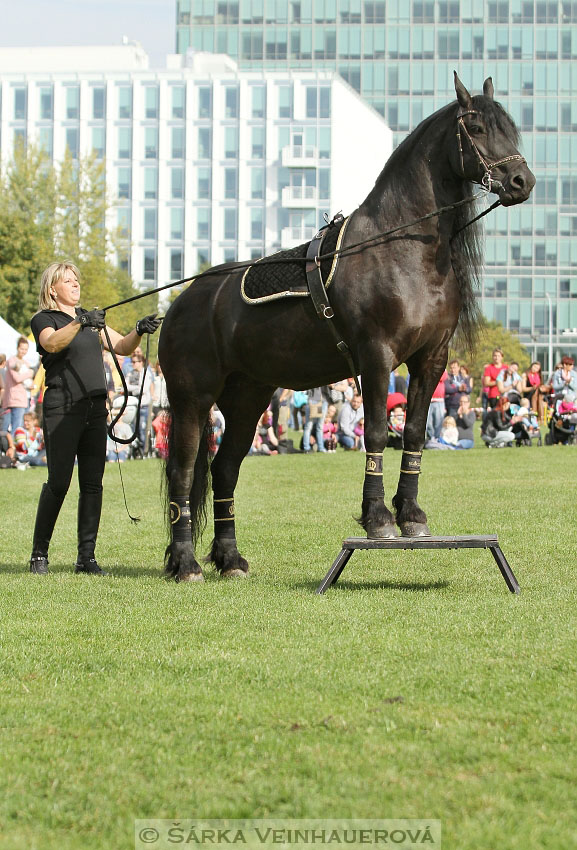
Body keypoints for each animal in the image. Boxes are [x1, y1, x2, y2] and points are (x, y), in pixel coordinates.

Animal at [159, 73, 536, 580]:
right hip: (193, 400)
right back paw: (185, 563)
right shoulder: (376, 357)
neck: (401, 249)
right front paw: (378, 519)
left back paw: (230, 559)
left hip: (247, 398)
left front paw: (412, 516)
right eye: (475, 128)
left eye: (509, 129)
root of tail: (182, 302)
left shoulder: (430, 360)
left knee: (224, 470)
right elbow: (376, 433)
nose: (521, 181)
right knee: (182, 472)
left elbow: (412, 432)